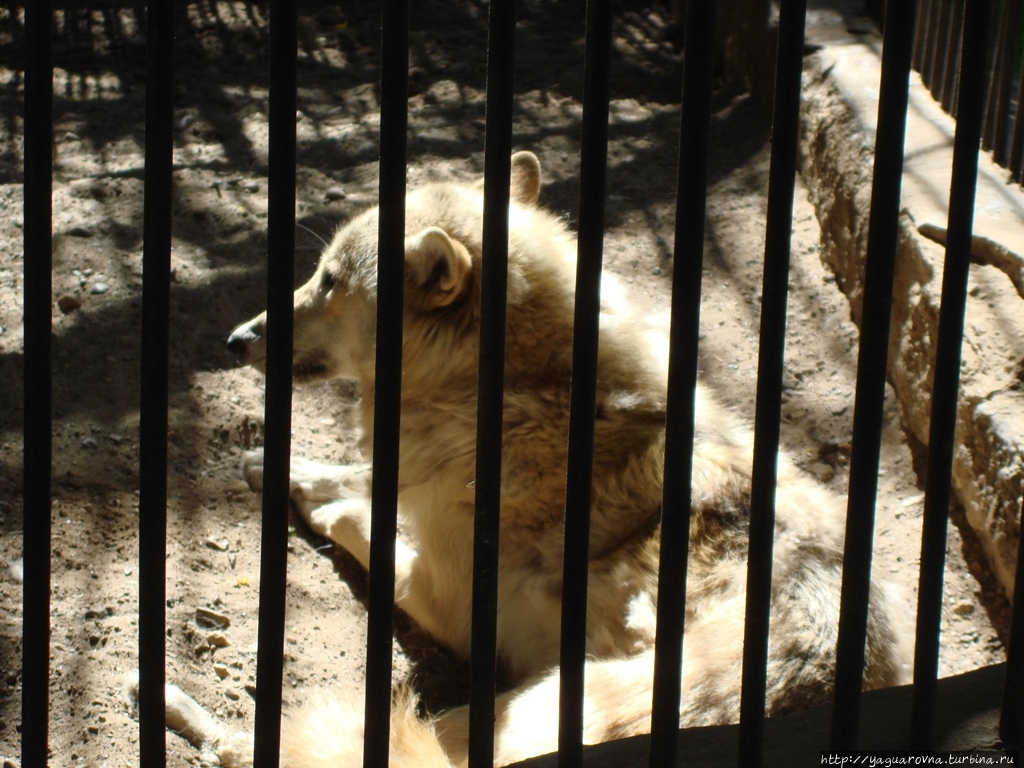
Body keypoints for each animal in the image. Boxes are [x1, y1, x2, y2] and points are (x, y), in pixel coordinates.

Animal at [159, 151, 913, 768]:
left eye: (328, 282)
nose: (234, 340)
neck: (521, 390)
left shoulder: (443, 600)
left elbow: (354, 519)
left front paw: (320, 502)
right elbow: (358, 476)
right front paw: (279, 470)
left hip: (503, 710)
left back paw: (170, 698)